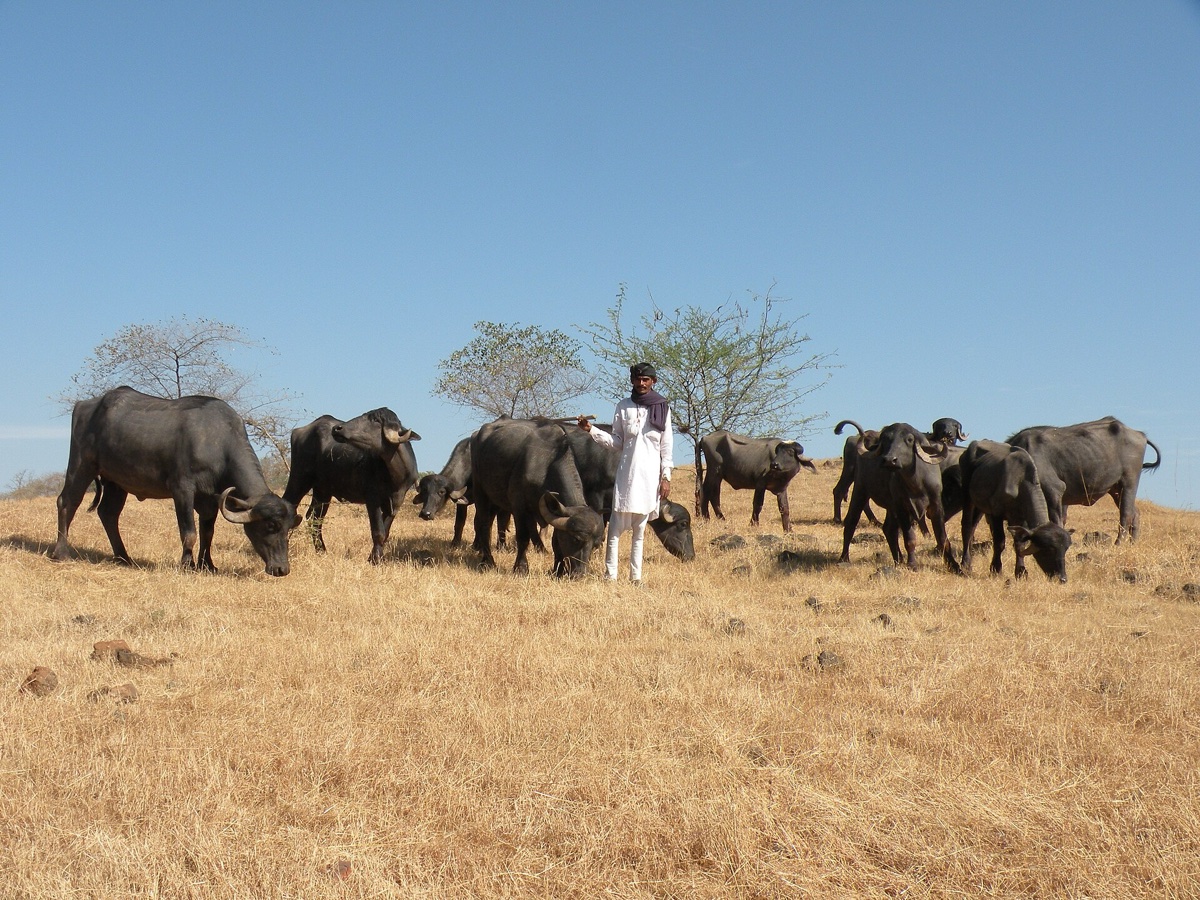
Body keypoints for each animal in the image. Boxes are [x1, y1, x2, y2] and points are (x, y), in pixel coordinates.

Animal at [52, 386, 300, 576]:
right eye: (270, 526)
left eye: (288, 528)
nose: (281, 569)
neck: (216, 443)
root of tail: (85, 405)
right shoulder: (182, 489)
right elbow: (189, 532)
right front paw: (187, 565)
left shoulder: (211, 498)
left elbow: (207, 533)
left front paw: (207, 565)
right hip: (82, 464)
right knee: (67, 501)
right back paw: (61, 553)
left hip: (116, 481)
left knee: (108, 513)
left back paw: (123, 557)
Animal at [283, 408, 420, 564]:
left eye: (375, 420)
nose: (337, 429)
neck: (395, 475)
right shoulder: (372, 499)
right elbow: (378, 532)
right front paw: (374, 560)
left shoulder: (395, 504)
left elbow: (385, 533)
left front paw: (374, 558)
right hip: (299, 479)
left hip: (322, 491)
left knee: (315, 519)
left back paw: (322, 551)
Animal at [958, 439, 1072, 581]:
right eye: (1048, 550)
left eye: (1065, 550)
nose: (1062, 578)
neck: (1020, 481)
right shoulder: (996, 513)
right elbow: (999, 542)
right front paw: (996, 569)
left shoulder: (1020, 518)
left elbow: (1019, 543)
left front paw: (1021, 571)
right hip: (967, 496)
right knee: (967, 527)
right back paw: (965, 564)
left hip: (980, 505)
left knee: (973, 526)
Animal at [1006, 417, 1161, 543]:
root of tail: (1139, 434)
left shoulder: (1054, 490)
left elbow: (1056, 519)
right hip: (1116, 490)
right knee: (1135, 513)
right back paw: (1133, 542)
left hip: (1129, 483)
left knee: (1126, 514)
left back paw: (1119, 543)